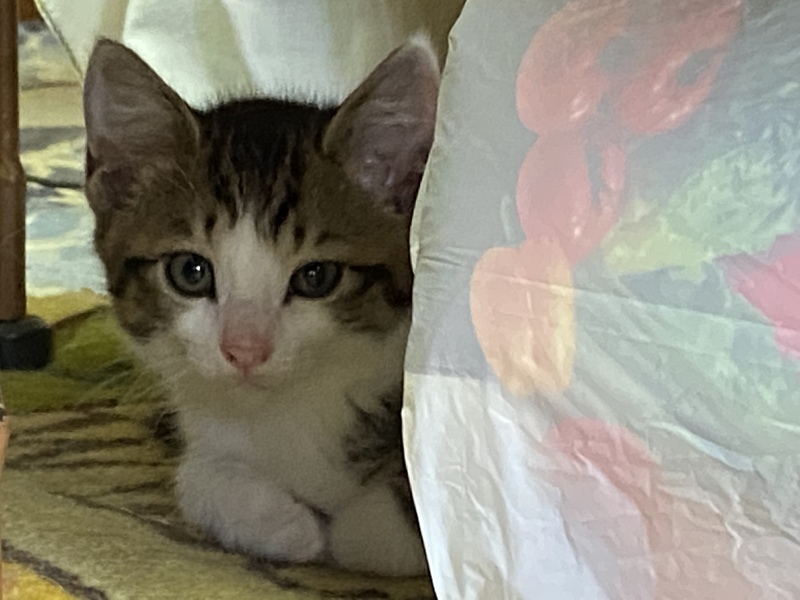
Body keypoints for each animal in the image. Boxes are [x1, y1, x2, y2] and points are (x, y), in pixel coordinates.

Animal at [82, 35, 439, 576]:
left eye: (316, 277)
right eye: (190, 272)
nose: (244, 350)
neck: (293, 412)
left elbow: (383, 527)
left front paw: (349, 529)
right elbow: (196, 477)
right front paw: (281, 523)